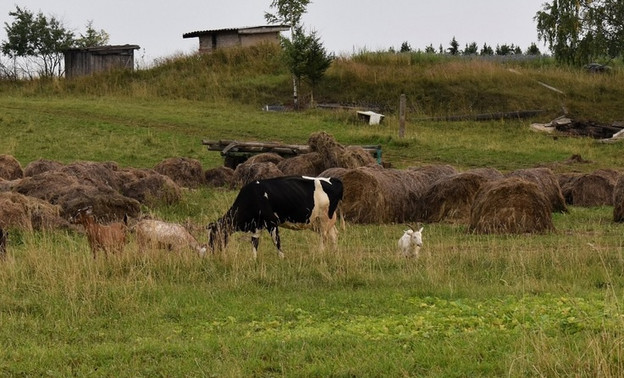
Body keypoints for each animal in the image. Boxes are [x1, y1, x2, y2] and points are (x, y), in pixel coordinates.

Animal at [208, 176, 346, 258]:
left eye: (214, 235)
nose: (212, 250)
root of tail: (333, 179)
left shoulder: (272, 222)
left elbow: (276, 241)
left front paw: (282, 258)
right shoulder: (257, 225)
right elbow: (254, 242)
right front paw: (254, 260)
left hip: (324, 218)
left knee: (324, 237)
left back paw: (320, 254)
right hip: (318, 222)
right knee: (333, 235)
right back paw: (334, 254)